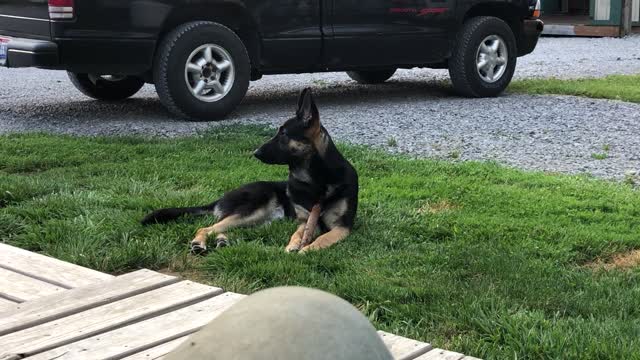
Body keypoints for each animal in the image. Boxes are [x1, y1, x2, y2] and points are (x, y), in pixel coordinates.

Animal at [141, 88, 360, 253]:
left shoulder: (341, 227)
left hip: (257, 220)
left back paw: (221, 241)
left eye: (283, 134)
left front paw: (307, 248)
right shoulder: (306, 220)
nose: (255, 152)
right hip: (253, 208)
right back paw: (199, 242)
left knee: (220, 228)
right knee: (207, 227)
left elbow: (323, 238)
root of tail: (220, 199)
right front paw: (294, 245)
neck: (318, 180)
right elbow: (299, 233)